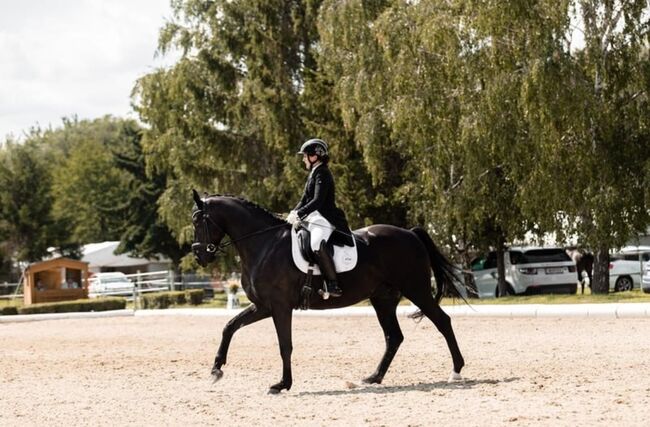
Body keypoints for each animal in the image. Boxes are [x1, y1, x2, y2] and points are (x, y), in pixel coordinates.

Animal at [190, 191, 468, 394]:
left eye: (198, 221)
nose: (200, 256)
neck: (264, 244)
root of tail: (410, 233)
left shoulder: (280, 307)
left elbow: (285, 345)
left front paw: (282, 385)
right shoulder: (263, 307)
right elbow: (230, 326)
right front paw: (216, 370)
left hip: (416, 289)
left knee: (442, 321)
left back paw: (456, 371)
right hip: (383, 298)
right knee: (394, 337)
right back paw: (373, 377)